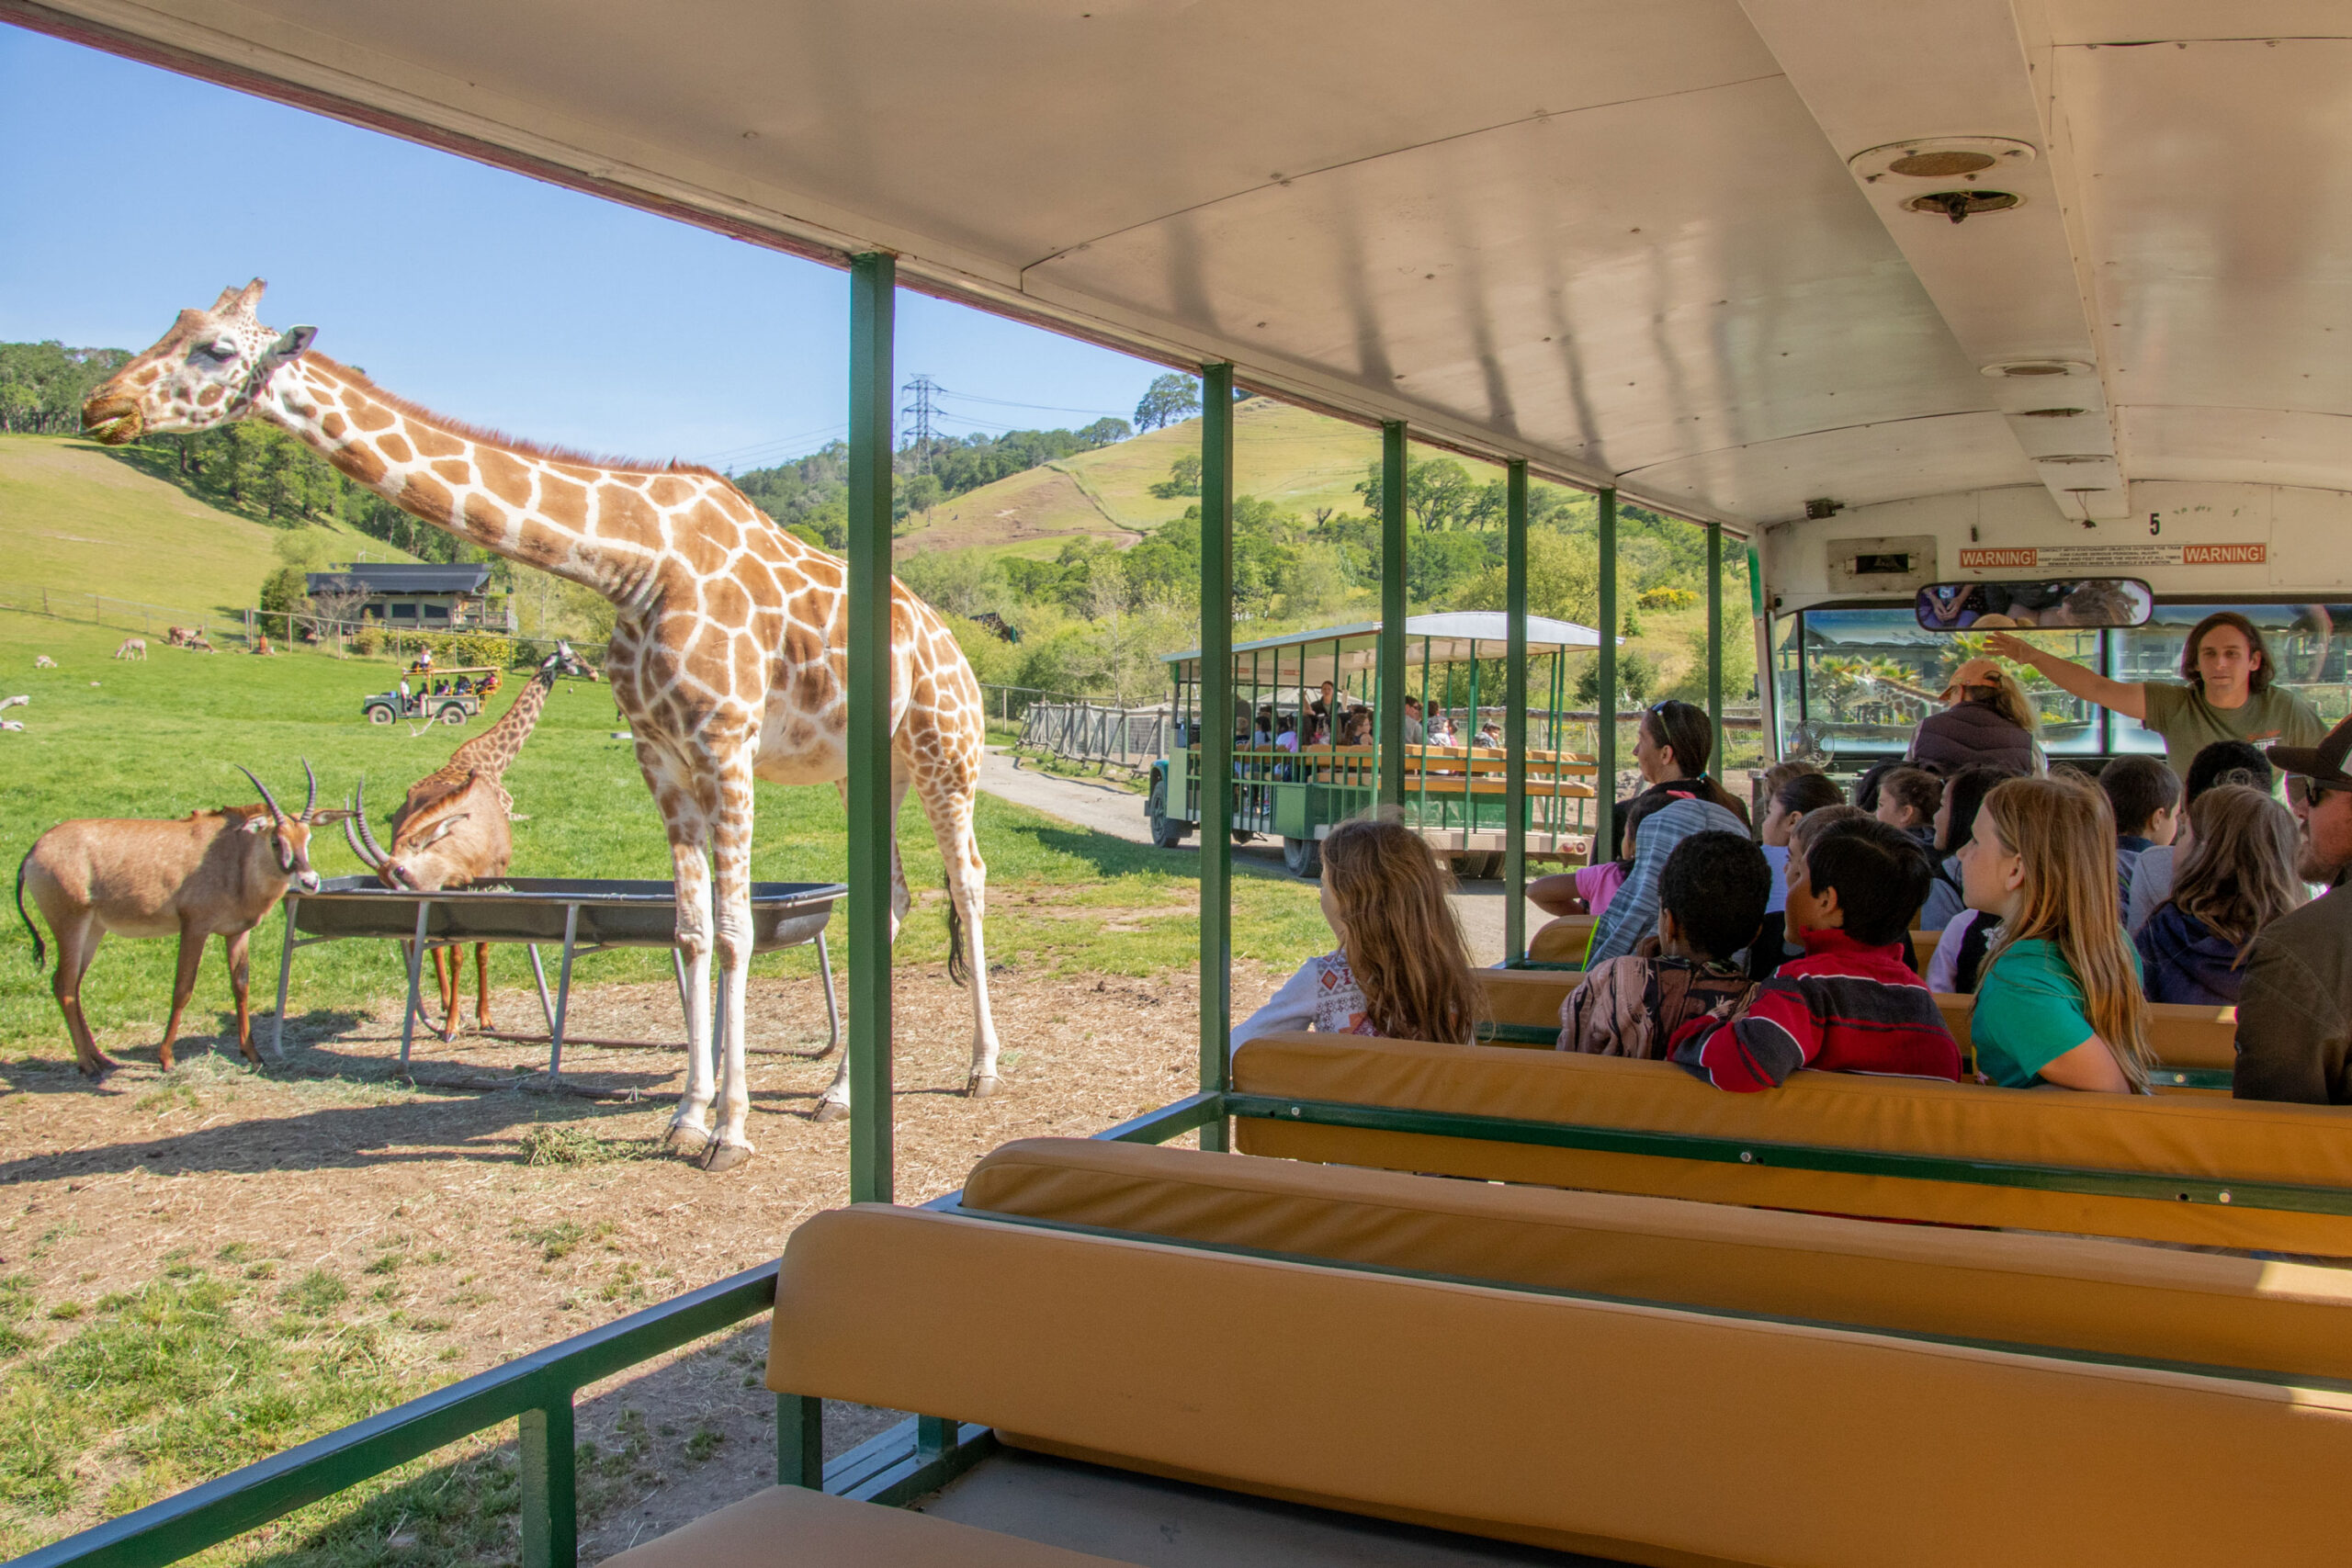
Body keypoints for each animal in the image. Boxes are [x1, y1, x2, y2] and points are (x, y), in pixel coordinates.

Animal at [14, 764, 351, 1075]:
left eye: (307, 838)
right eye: (275, 840)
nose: (310, 881)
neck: (234, 856)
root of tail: (35, 849)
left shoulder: (237, 932)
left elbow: (241, 986)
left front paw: (253, 1054)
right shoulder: (194, 927)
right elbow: (183, 988)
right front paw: (166, 1058)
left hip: (93, 929)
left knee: (75, 985)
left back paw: (100, 1058)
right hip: (70, 923)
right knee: (63, 983)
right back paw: (86, 1064)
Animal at [84, 281, 1001, 1169]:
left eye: (216, 349)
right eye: (173, 322)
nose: (102, 403)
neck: (634, 563)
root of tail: (956, 646)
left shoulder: (726, 741)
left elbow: (738, 930)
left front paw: (732, 1131)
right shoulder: (659, 754)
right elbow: (691, 931)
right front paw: (685, 1117)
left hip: (943, 751)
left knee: (968, 877)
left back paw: (982, 1068)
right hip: (864, 767)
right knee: (896, 895)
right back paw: (839, 1093)